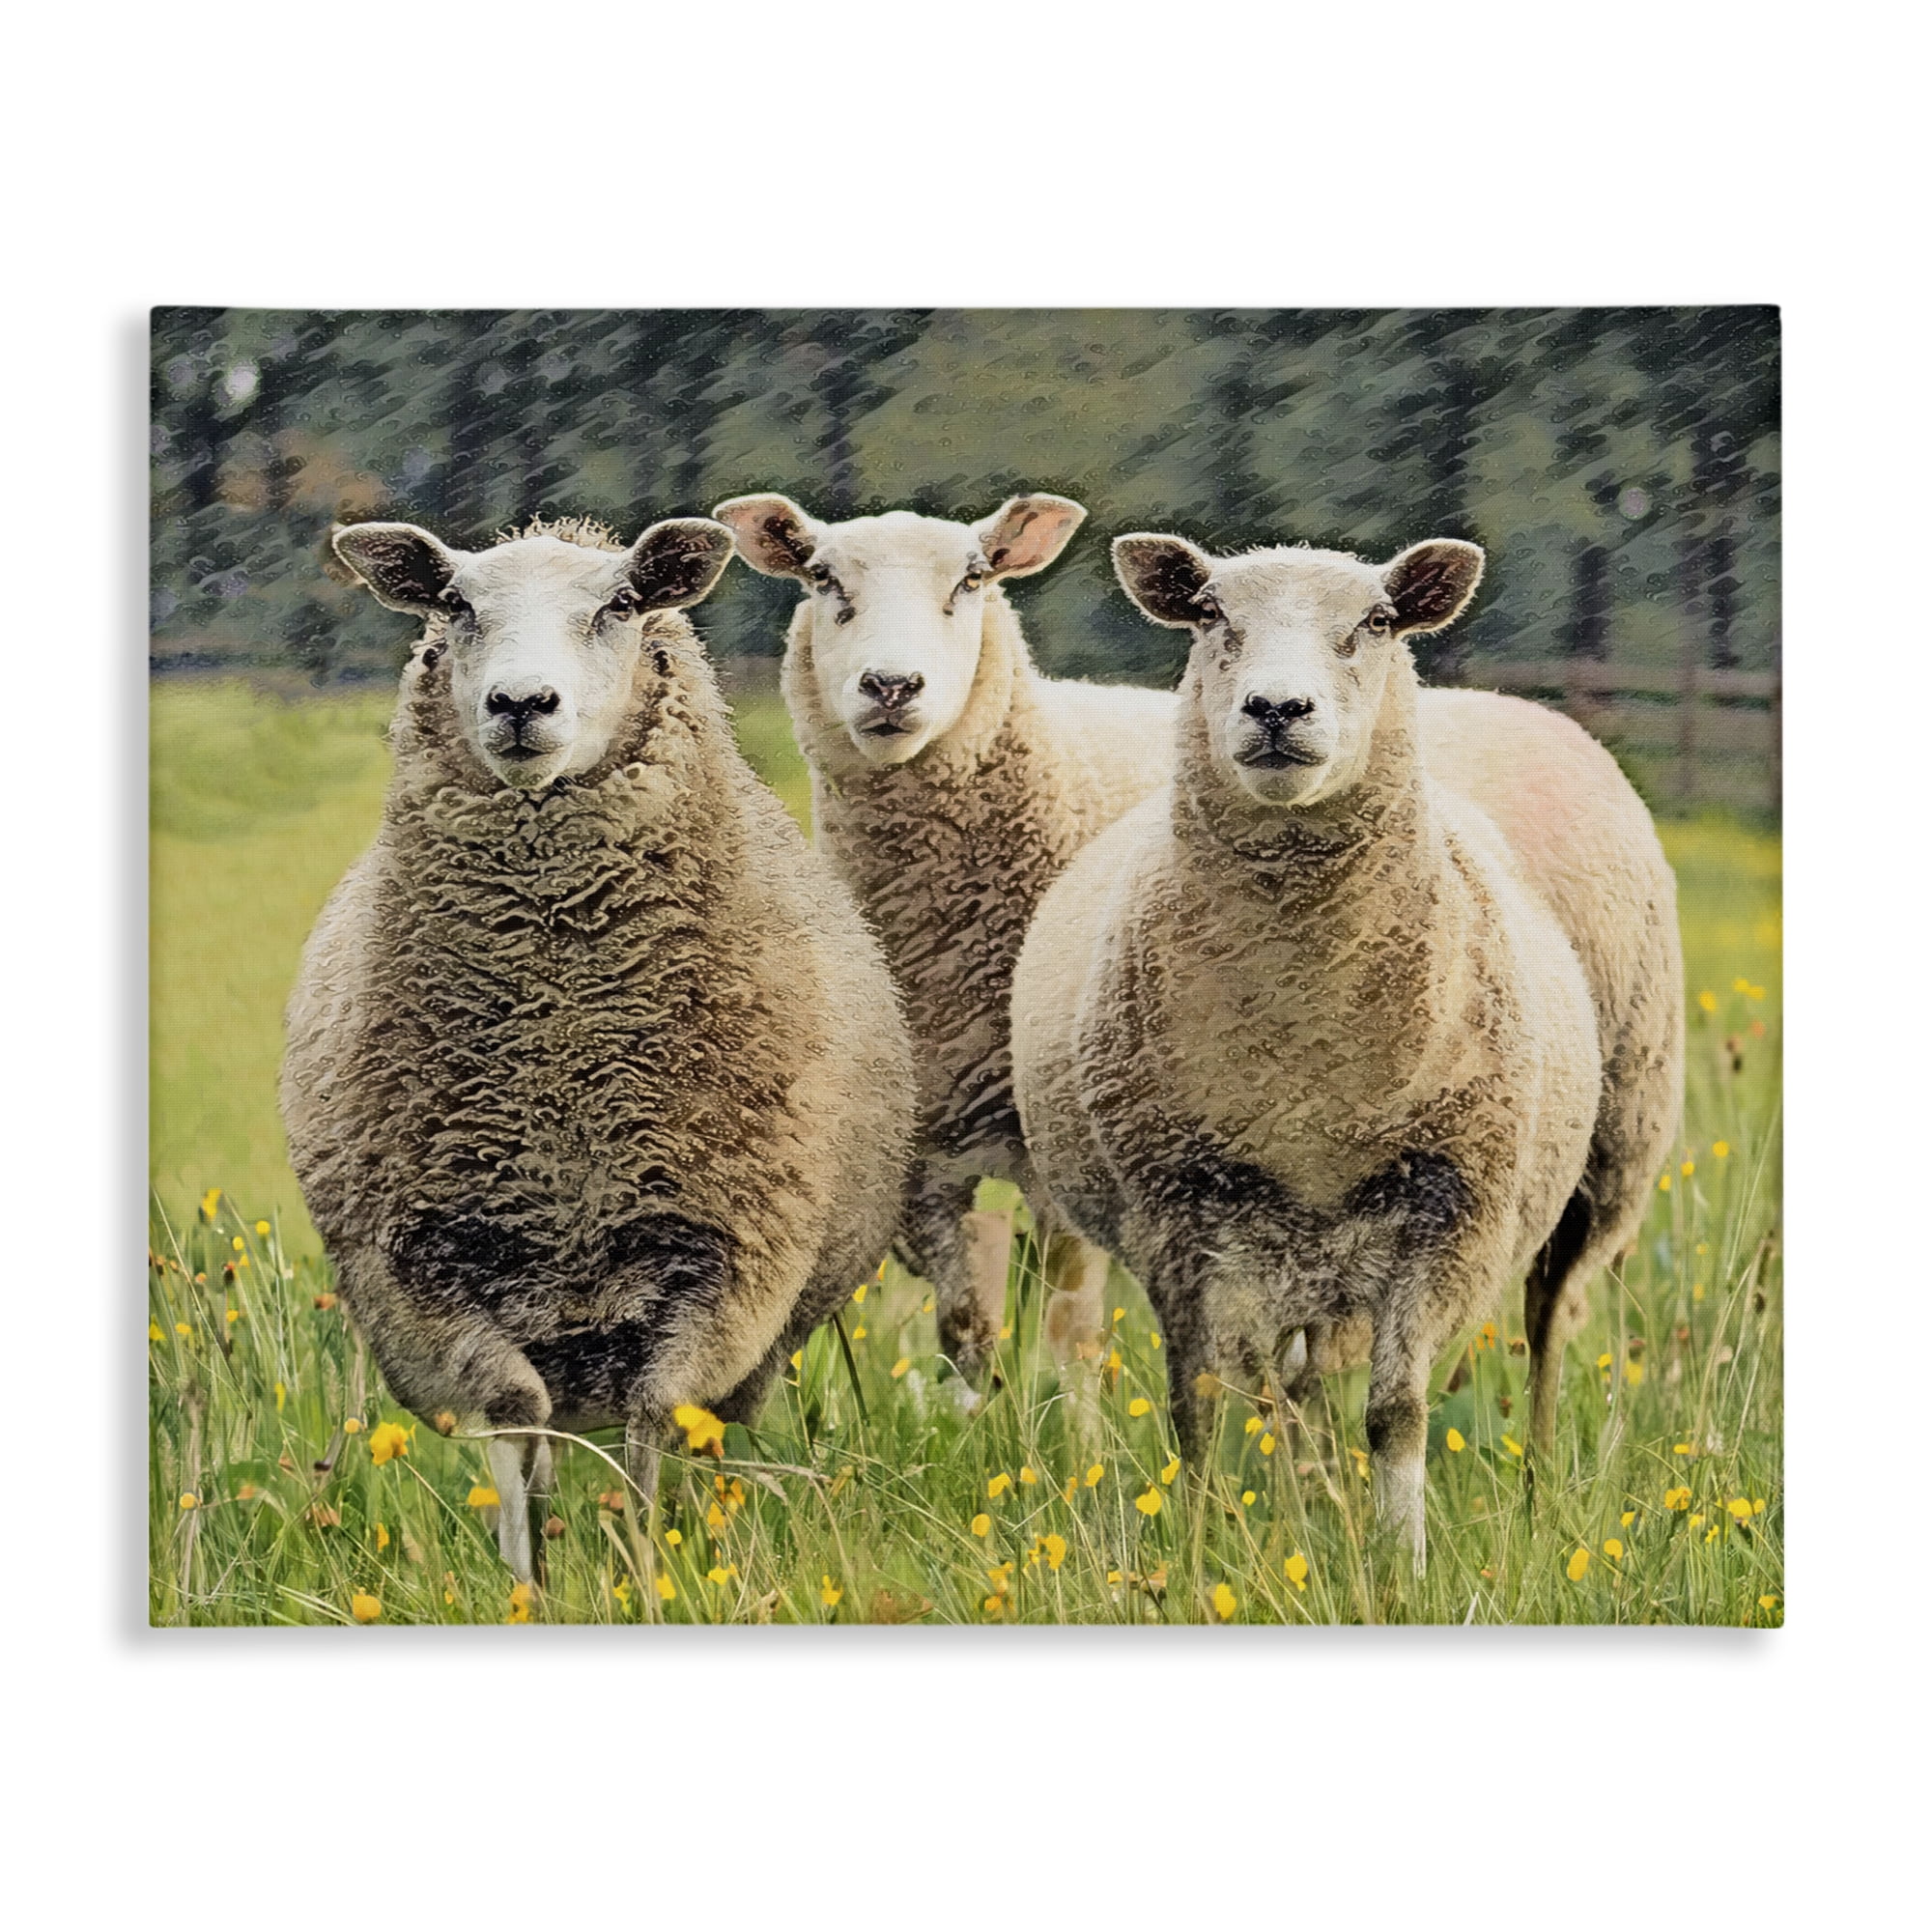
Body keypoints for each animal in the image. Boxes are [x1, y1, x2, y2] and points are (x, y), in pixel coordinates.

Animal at [281, 513, 915, 1581]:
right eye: (454, 603)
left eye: (619, 604)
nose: (520, 703)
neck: (563, 1053)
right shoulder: (421, 1268)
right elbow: (515, 1415)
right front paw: (527, 1579)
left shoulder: (726, 1259)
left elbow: (657, 1417)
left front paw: (646, 1571)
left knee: (690, 1430)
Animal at [710, 491, 1176, 1384]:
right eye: (823, 577)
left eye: (972, 579)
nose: (891, 684)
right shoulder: (920, 1161)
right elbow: (966, 1330)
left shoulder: (1061, 1148)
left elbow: (1067, 1329)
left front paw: (1065, 1421)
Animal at [1010, 531, 1683, 1568]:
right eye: (1209, 613)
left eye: (1375, 621)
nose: (1278, 708)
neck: (1309, 1052)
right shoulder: (1175, 1212)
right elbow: (1201, 1405)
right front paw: (1202, 1548)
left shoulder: (1453, 1207)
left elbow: (1397, 1413)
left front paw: (1401, 1563)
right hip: (1299, 1249)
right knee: (1294, 1387)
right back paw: (1310, 1500)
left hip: (1609, 1159)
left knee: (1550, 1325)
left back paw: (1536, 1492)